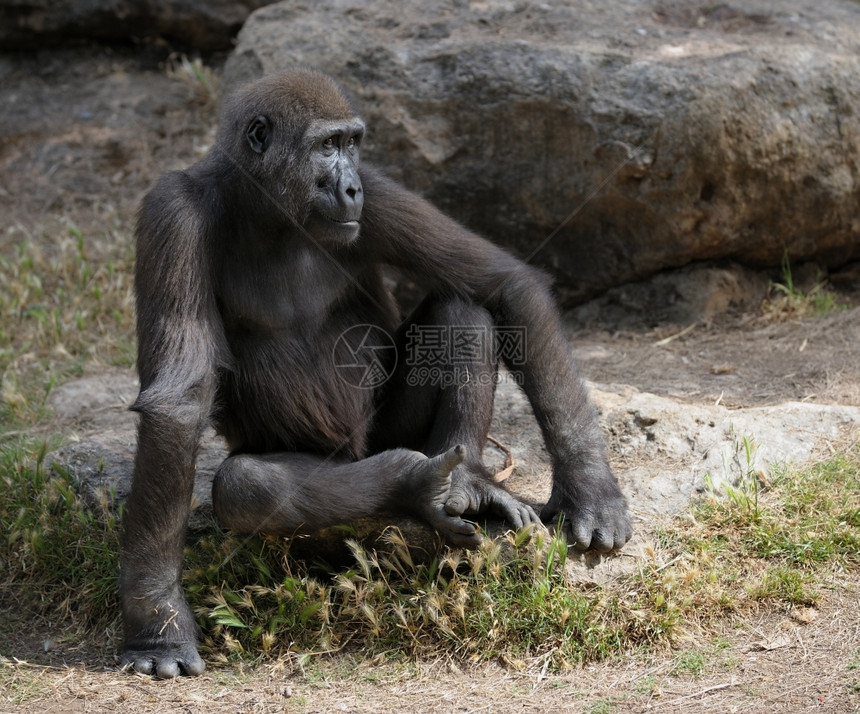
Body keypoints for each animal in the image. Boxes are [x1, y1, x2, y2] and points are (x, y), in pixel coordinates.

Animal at [121, 69, 628, 676]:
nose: (350, 189)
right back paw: (409, 484)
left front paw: (589, 484)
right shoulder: (172, 214)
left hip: (392, 429)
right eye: (326, 146)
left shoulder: (380, 193)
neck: (267, 209)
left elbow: (503, 284)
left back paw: (469, 481)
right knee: (252, 487)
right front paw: (158, 622)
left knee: (460, 310)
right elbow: (180, 403)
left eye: (352, 144)